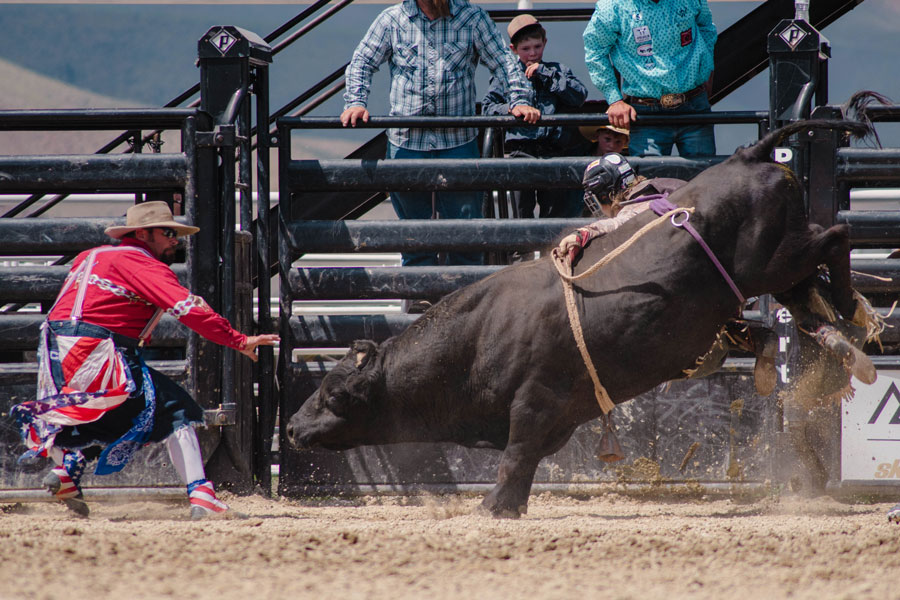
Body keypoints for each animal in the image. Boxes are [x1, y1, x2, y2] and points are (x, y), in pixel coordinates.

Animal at [287, 118, 876, 518]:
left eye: (334, 394)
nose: (292, 427)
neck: (478, 339)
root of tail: (748, 157)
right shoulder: (556, 417)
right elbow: (525, 464)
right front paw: (511, 506)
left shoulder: (535, 401)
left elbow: (516, 456)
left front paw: (492, 507)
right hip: (777, 271)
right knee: (805, 299)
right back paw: (842, 350)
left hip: (774, 259)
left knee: (836, 236)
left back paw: (851, 307)